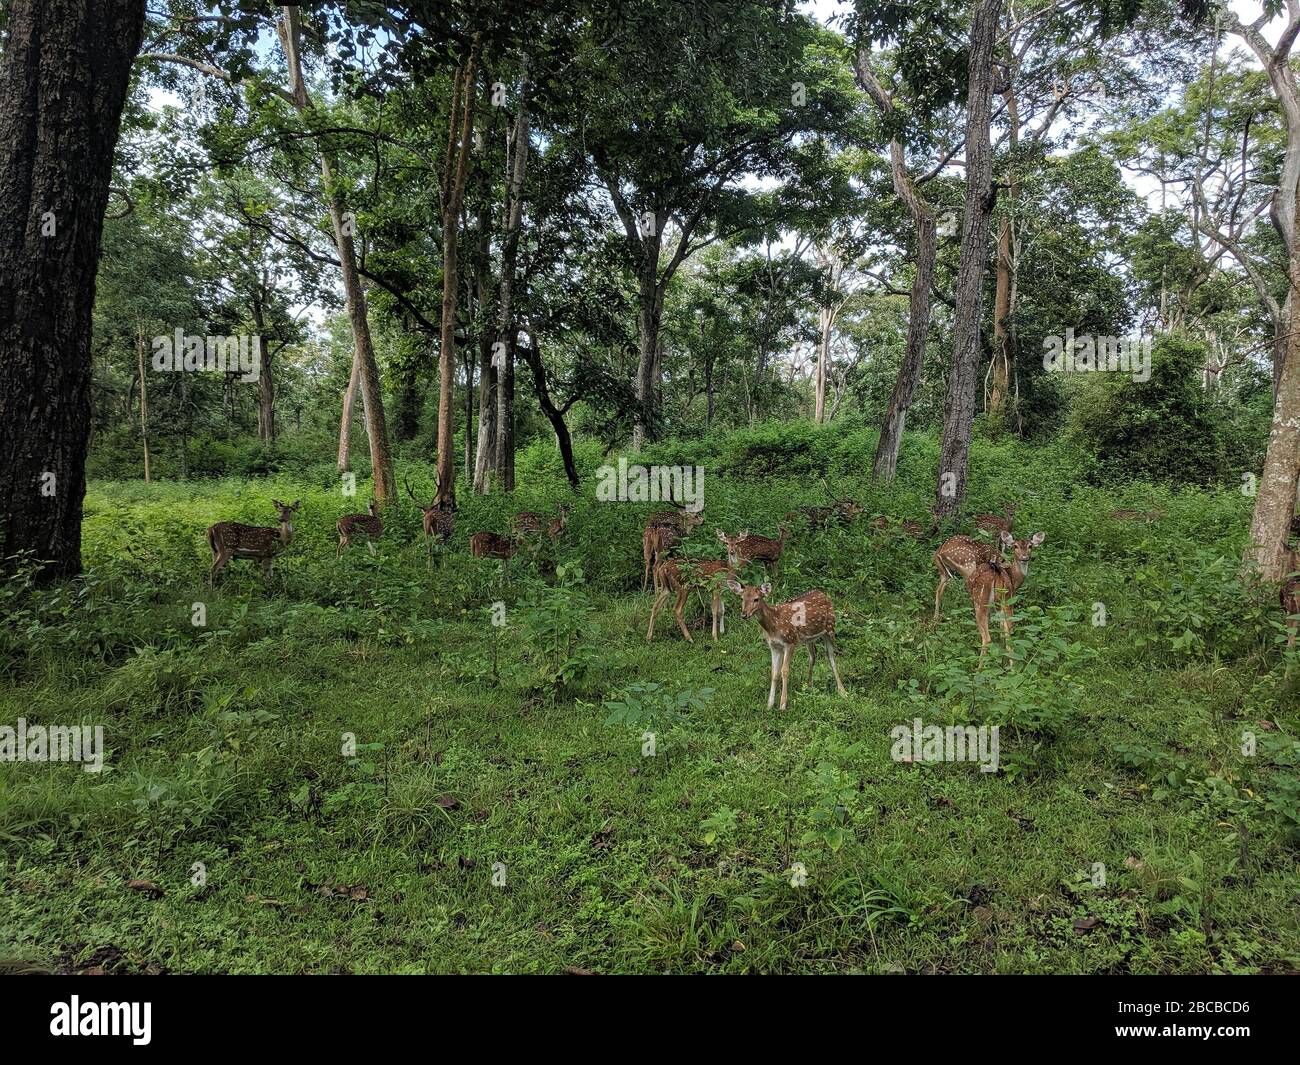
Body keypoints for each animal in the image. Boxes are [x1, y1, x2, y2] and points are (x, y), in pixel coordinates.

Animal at [727, 579, 847, 710]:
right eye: (742, 598)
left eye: (756, 599)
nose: (744, 615)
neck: (773, 626)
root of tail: (824, 594)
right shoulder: (774, 647)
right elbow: (774, 673)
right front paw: (769, 705)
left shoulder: (790, 642)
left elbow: (784, 671)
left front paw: (782, 705)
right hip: (809, 638)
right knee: (813, 655)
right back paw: (809, 685)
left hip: (830, 628)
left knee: (831, 657)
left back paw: (842, 691)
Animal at [962, 531, 1046, 661]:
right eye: (1015, 546)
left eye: (1030, 546)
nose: (1024, 557)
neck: (1014, 578)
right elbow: (1002, 628)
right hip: (1006, 600)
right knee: (1009, 632)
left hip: (981, 601)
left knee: (987, 637)